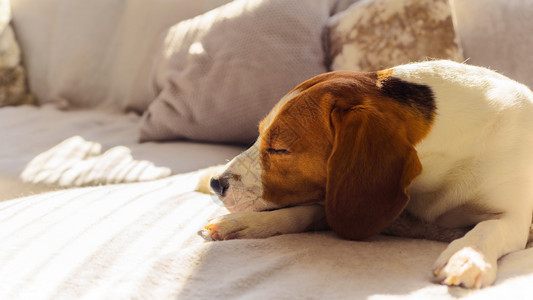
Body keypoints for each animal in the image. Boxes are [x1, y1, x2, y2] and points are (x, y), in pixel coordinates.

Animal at [203, 60, 532, 288]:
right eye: (259, 134)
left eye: (280, 148)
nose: (216, 183)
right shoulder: (346, 199)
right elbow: (305, 211)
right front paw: (246, 223)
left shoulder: (517, 221)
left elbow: (489, 228)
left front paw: (466, 256)